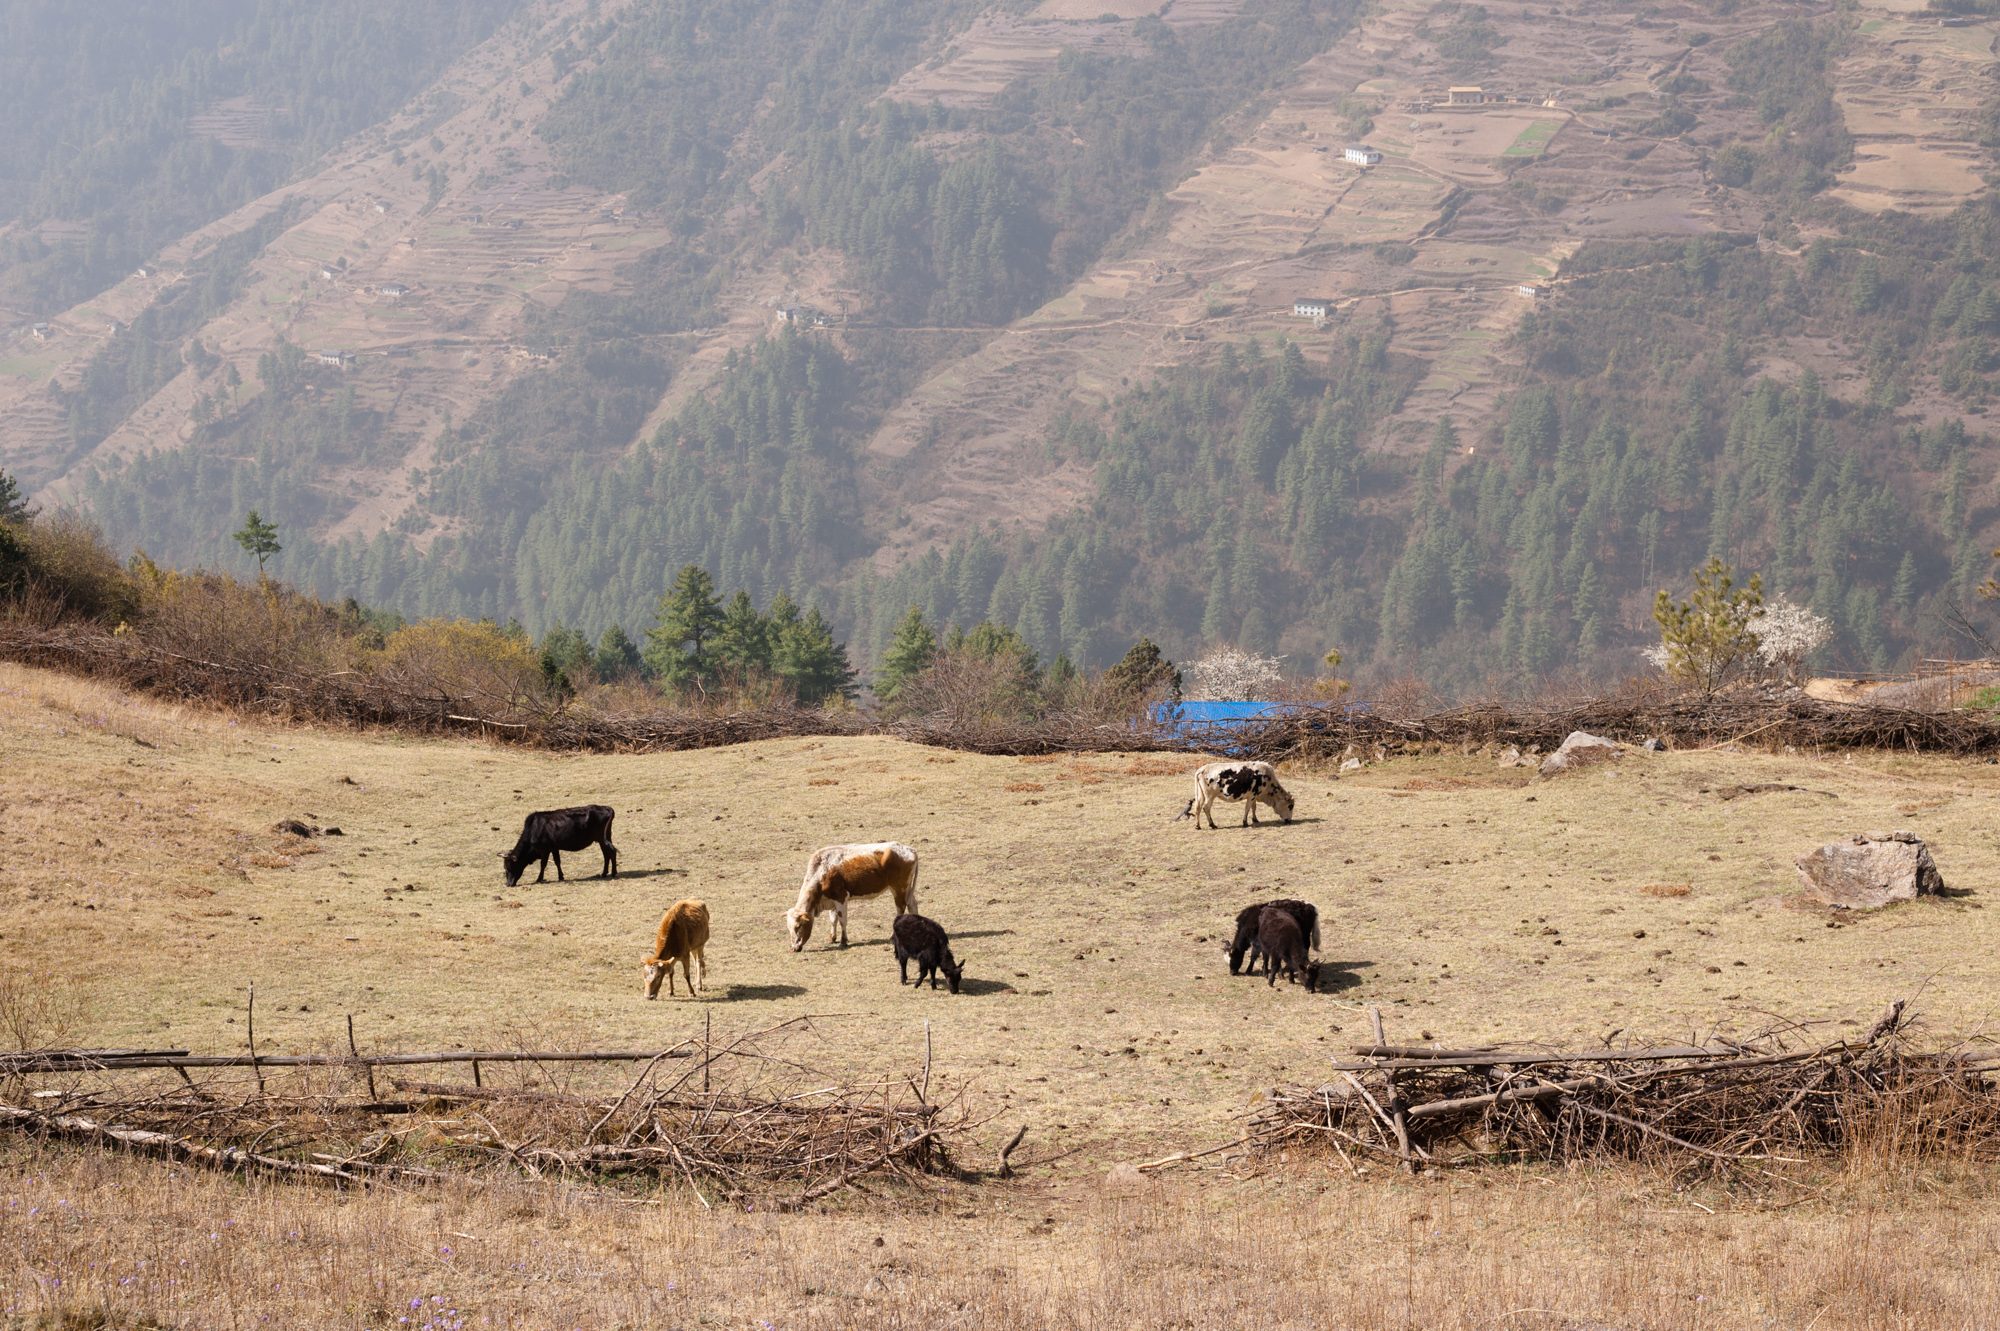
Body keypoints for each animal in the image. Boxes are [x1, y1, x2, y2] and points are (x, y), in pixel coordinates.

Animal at [788, 835, 928, 947]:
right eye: (789, 928)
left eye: (798, 926)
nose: (794, 948)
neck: (821, 871)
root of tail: (909, 849)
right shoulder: (832, 899)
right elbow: (833, 919)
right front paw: (832, 938)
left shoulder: (841, 897)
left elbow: (842, 920)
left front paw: (843, 941)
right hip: (907, 889)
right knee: (912, 905)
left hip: (898, 888)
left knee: (901, 908)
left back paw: (893, 936)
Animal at [1168, 763, 1296, 823]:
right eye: (1290, 806)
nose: (1289, 820)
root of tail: (1201, 770)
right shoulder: (1252, 795)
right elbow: (1248, 808)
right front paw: (1245, 822)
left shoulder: (1253, 796)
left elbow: (1253, 808)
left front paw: (1255, 819)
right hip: (1210, 796)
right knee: (1206, 808)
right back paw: (1212, 825)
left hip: (1200, 795)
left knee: (1198, 808)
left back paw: (1198, 826)